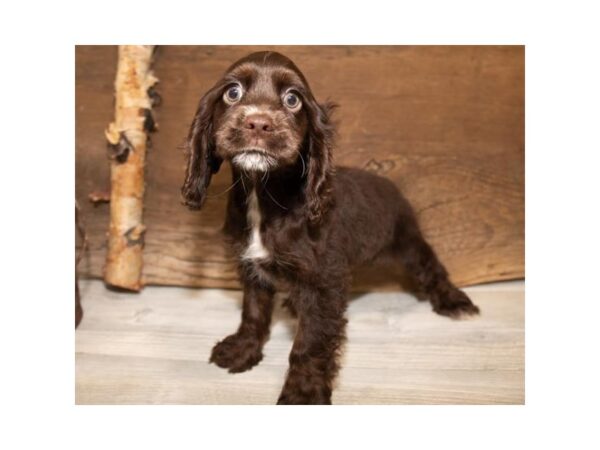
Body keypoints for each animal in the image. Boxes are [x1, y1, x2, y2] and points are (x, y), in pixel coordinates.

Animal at [180, 51, 480, 406]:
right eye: (233, 92)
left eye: (292, 99)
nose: (258, 123)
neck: (264, 194)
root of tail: (389, 183)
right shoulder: (252, 267)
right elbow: (253, 312)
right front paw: (242, 350)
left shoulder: (324, 283)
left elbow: (310, 343)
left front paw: (303, 392)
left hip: (407, 239)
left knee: (430, 267)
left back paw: (453, 301)